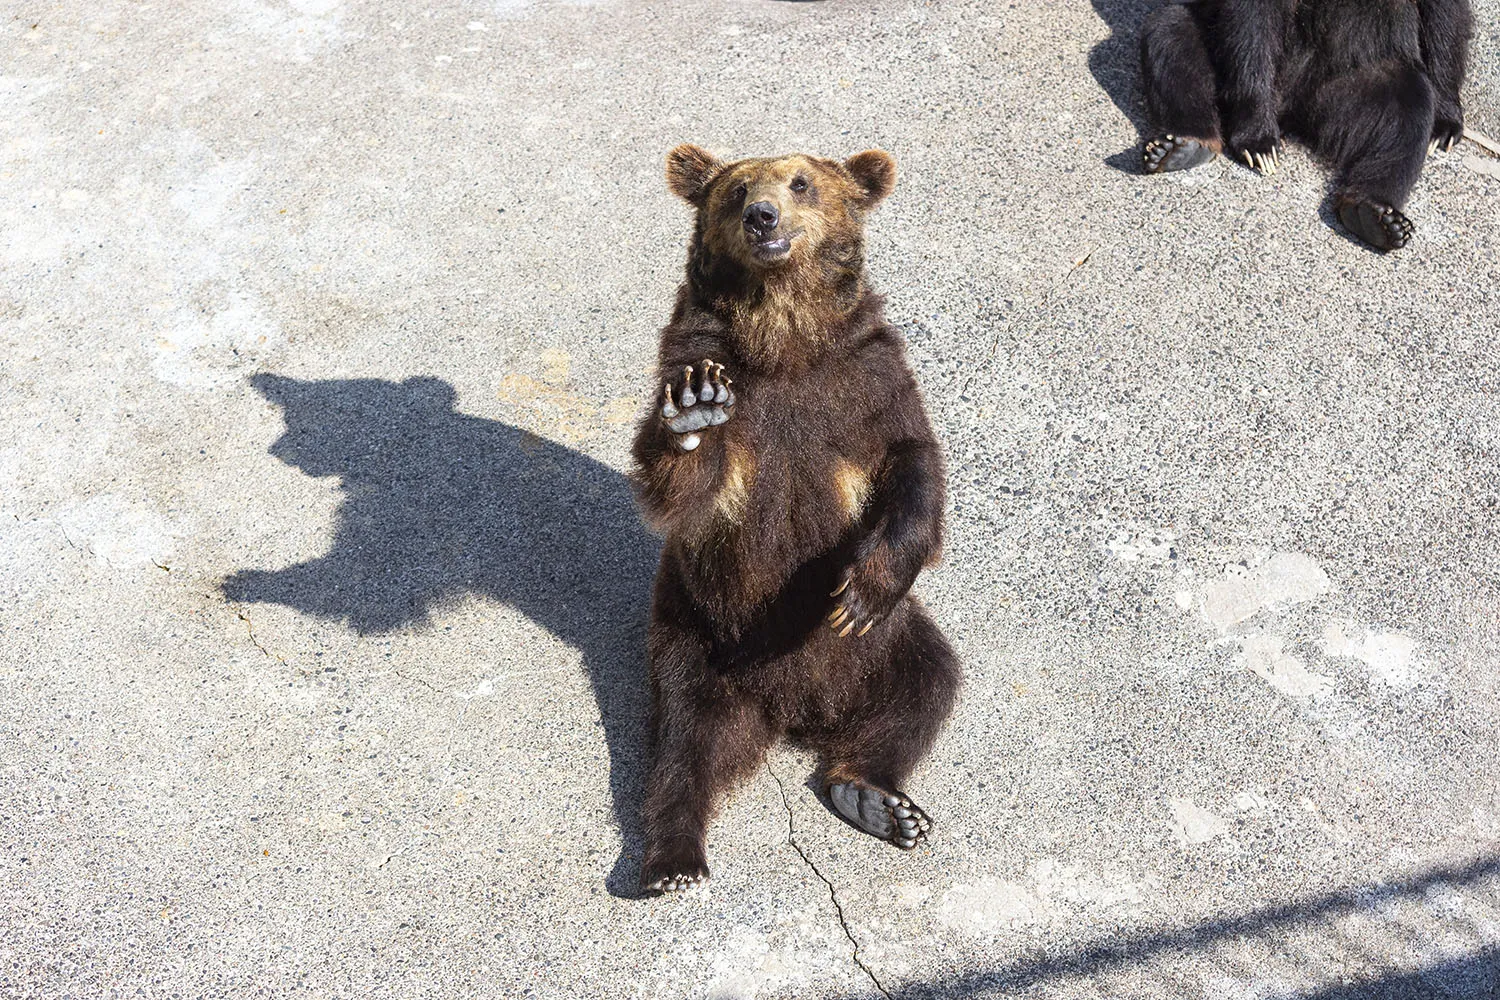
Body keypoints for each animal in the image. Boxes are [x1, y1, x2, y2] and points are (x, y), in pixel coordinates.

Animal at [630, 145, 961, 895]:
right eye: (736, 189)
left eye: (802, 182)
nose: (763, 215)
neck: (784, 338)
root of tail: (797, 709)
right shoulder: (700, 356)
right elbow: (682, 485)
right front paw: (694, 411)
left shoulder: (867, 379)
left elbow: (914, 465)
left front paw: (861, 592)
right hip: (695, 634)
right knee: (684, 742)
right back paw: (674, 859)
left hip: (889, 647)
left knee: (924, 690)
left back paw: (875, 798)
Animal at [1137, 0, 1473, 251]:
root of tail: (1292, 111)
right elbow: (1249, 21)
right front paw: (1258, 143)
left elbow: (1445, 15)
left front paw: (1446, 124)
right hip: (1213, 40)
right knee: (1172, 33)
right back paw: (1181, 145)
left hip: (1347, 83)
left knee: (1406, 109)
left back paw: (1376, 216)